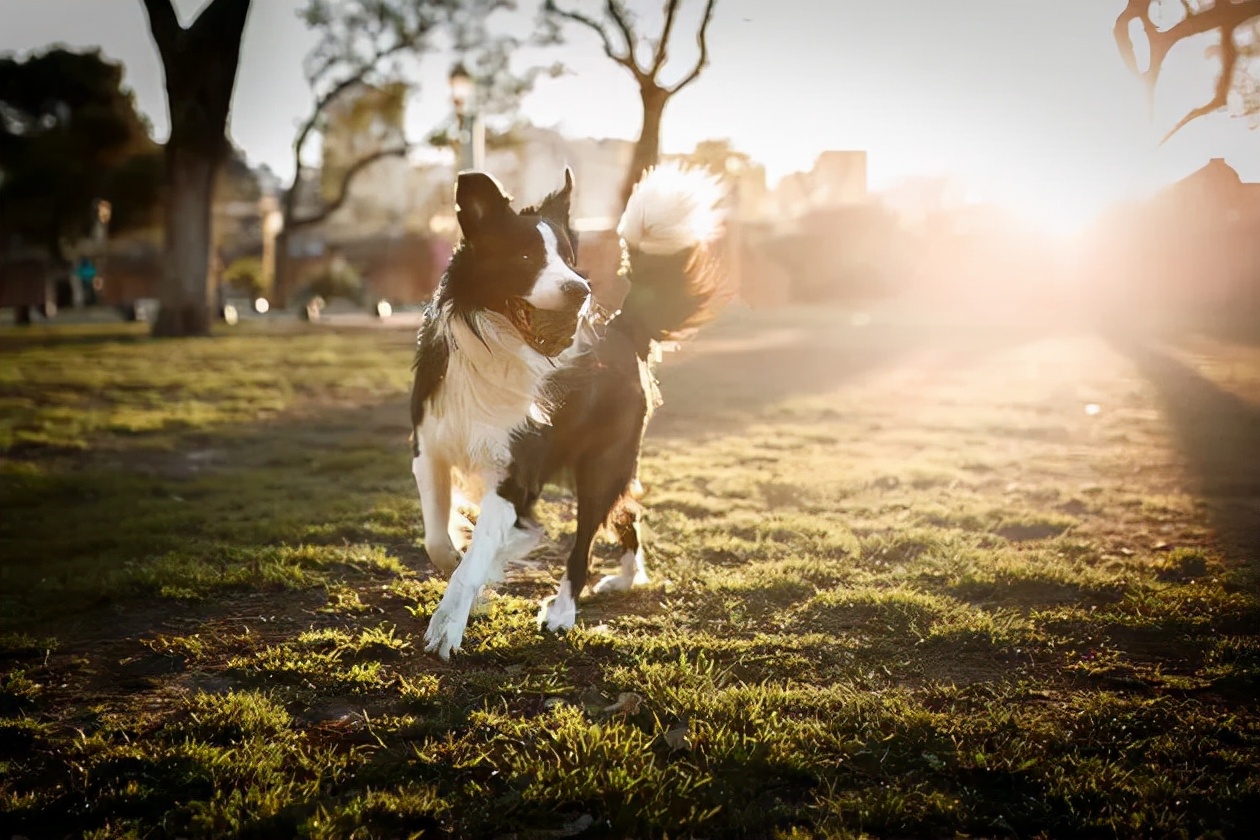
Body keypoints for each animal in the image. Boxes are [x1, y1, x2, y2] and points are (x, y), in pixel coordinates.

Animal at [413, 163, 725, 659]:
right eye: (525, 257)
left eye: (568, 257)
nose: (581, 290)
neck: (496, 349)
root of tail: (622, 327)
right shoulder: (429, 449)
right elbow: (439, 543)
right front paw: (481, 572)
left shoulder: (515, 474)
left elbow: (473, 557)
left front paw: (449, 623)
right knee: (628, 512)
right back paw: (626, 577)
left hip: (602, 462)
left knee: (584, 543)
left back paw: (562, 611)